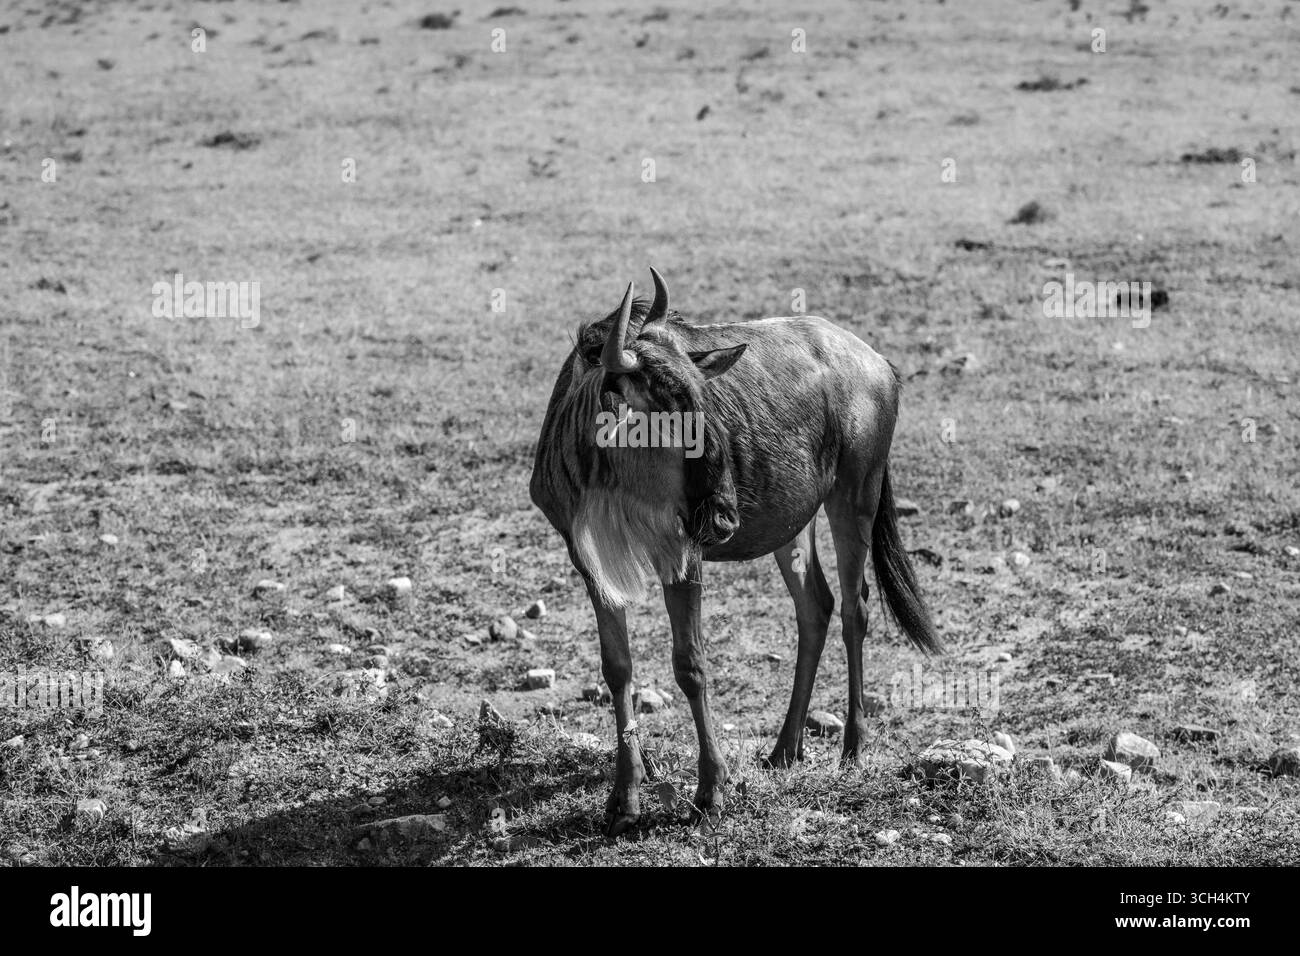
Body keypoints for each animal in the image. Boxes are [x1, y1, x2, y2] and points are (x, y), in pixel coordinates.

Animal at [530, 269, 940, 836]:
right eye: (663, 413)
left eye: (704, 401)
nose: (724, 517)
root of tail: (878, 363)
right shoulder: (589, 562)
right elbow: (618, 669)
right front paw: (624, 799)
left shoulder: (683, 555)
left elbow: (690, 664)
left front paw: (711, 792)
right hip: (793, 526)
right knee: (816, 607)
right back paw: (784, 750)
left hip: (854, 497)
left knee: (855, 609)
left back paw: (853, 748)